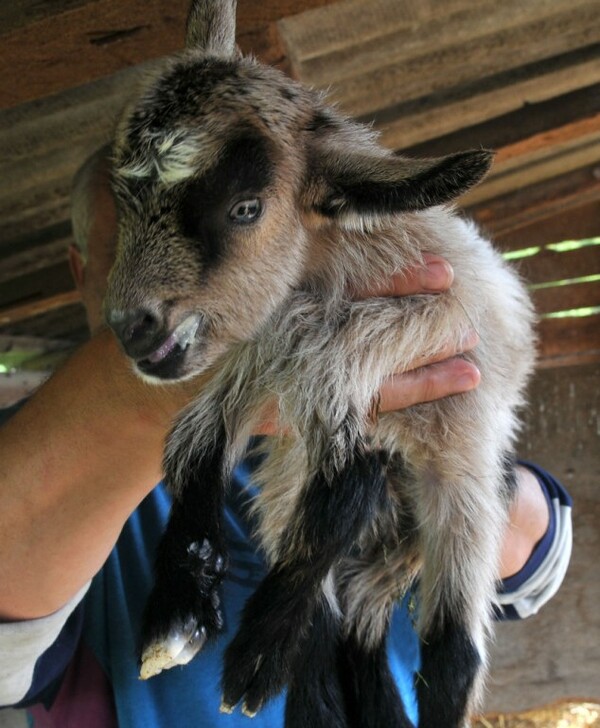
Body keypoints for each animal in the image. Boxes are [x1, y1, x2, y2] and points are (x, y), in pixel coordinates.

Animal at [103, 2, 536, 724]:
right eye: (123, 202)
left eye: (244, 208)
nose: (131, 327)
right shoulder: (258, 358)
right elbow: (195, 442)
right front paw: (179, 610)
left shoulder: (421, 322)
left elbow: (343, 460)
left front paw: (252, 656)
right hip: (319, 508)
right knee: (345, 624)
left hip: (461, 492)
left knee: (450, 652)